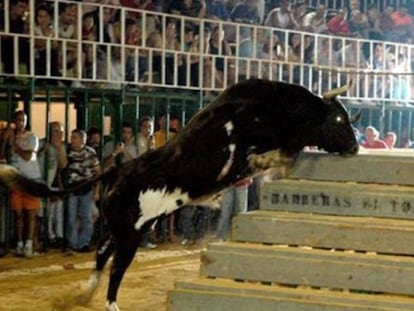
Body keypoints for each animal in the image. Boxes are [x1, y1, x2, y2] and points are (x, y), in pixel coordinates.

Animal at [0, 80, 360, 311]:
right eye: (339, 118)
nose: (355, 147)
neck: (270, 107)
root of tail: (119, 170)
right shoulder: (245, 153)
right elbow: (269, 156)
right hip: (130, 235)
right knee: (115, 268)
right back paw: (110, 303)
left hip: (123, 228)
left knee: (102, 254)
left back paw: (85, 293)